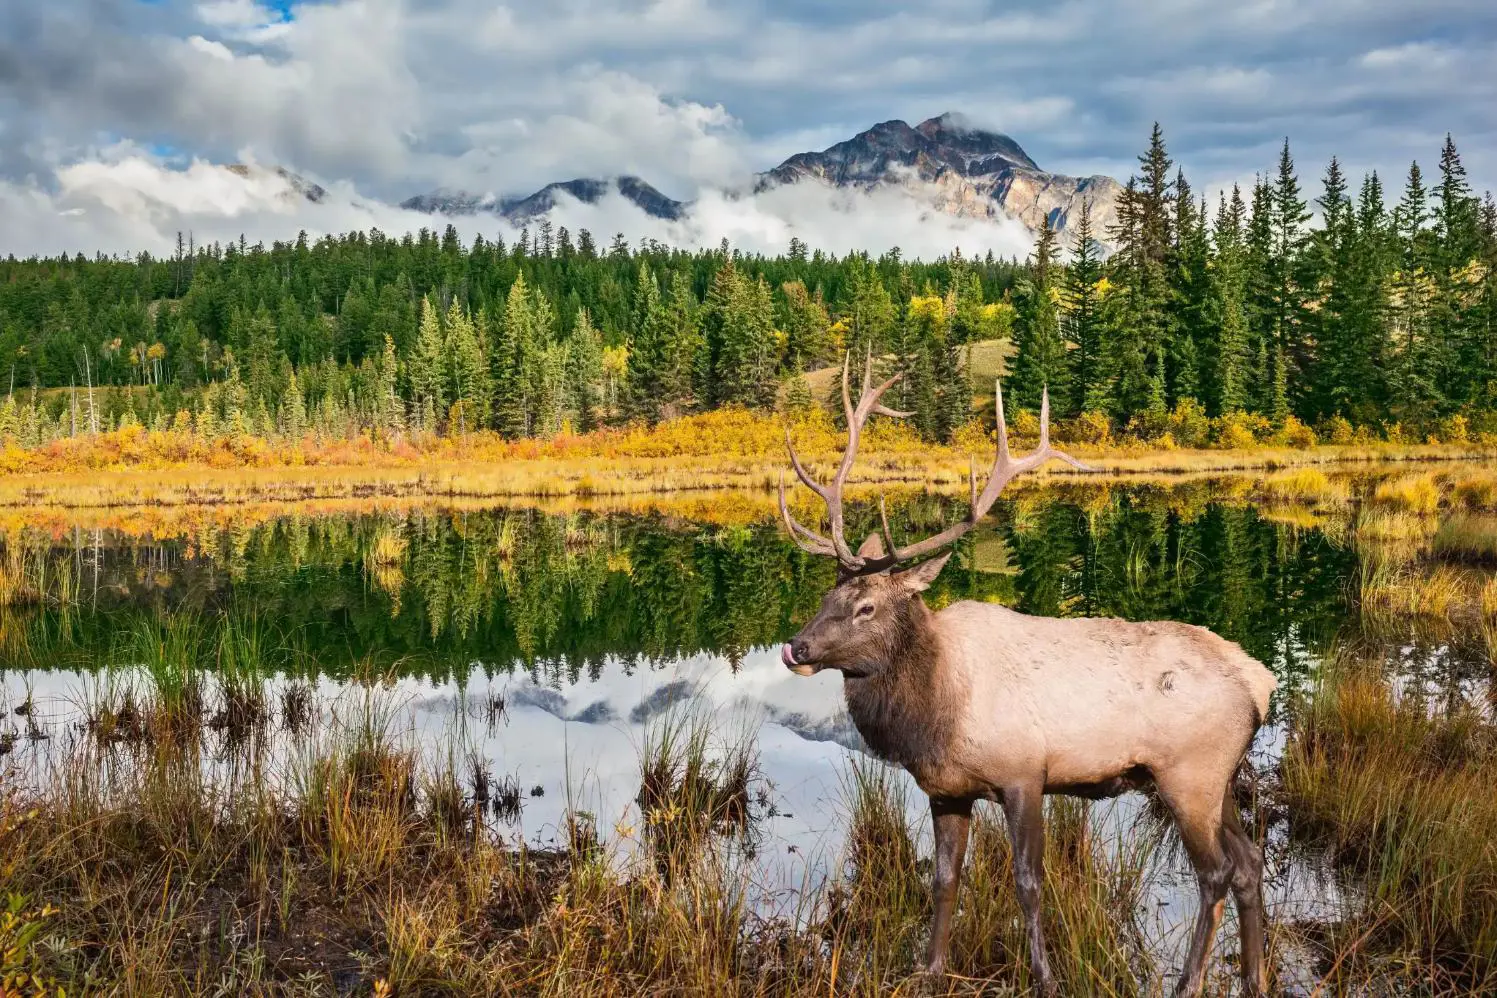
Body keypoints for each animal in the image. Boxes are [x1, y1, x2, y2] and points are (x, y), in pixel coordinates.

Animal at [777, 355, 1276, 998]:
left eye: (866, 607)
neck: (934, 713)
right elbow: (945, 879)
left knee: (1215, 872)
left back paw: (1189, 983)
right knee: (1250, 863)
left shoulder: (1024, 773)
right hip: (1220, 779)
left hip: (1188, 773)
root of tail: (1259, 682)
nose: (796, 647)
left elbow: (1029, 882)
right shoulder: (946, 790)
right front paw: (929, 967)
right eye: (827, 596)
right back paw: (1255, 978)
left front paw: (1044, 976)